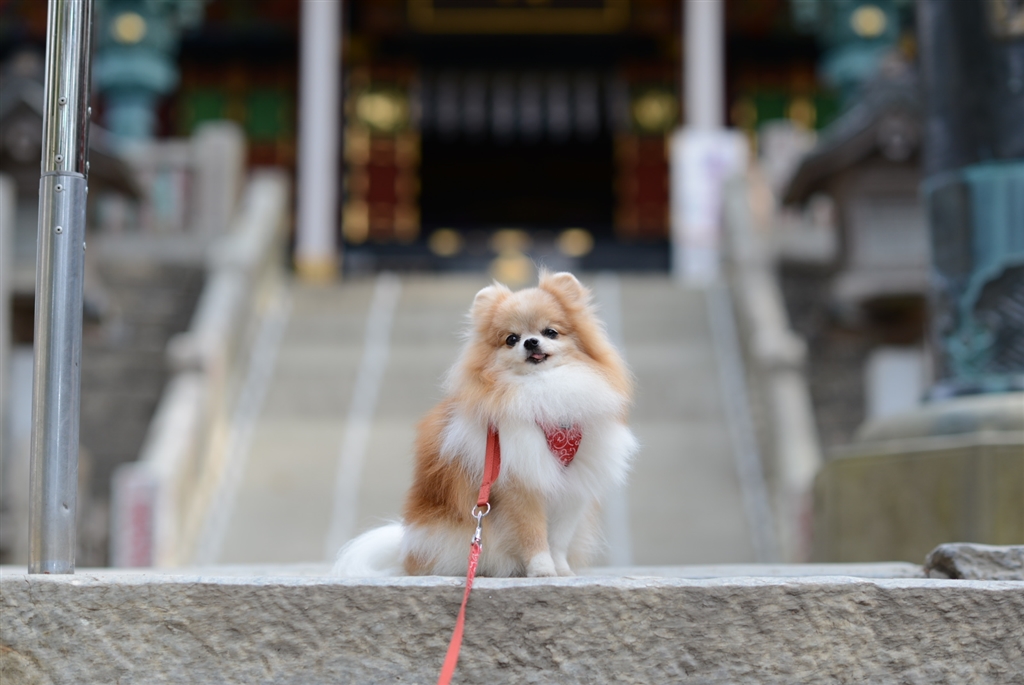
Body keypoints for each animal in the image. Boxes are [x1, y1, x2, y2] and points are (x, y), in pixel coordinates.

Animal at [333, 271, 637, 577]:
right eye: (511, 339)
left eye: (550, 332)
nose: (530, 342)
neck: (543, 387)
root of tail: (405, 553)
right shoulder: (520, 483)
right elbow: (533, 534)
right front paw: (542, 569)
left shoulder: (572, 489)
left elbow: (559, 539)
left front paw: (561, 570)